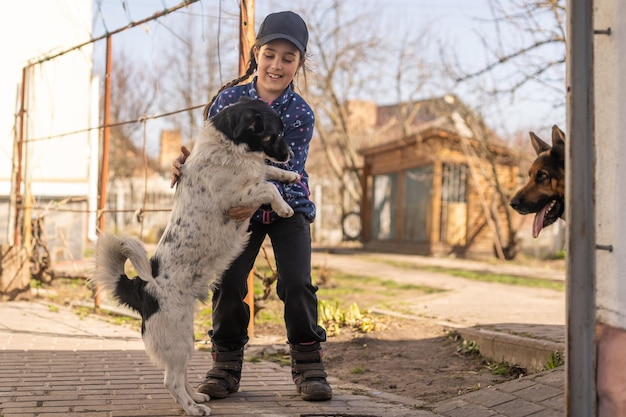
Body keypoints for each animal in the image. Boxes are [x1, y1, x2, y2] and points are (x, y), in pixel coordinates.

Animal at [90, 96, 300, 412]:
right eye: (273, 135)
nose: (290, 155)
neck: (228, 147)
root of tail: (141, 288)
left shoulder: (253, 172)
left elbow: (267, 172)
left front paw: (289, 174)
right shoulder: (236, 199)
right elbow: (267, 186)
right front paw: (283, 206)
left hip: (185, 337)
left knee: (180, 376)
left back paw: (196, 397)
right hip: (177, 338)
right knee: (171, 381)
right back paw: (193, 409)